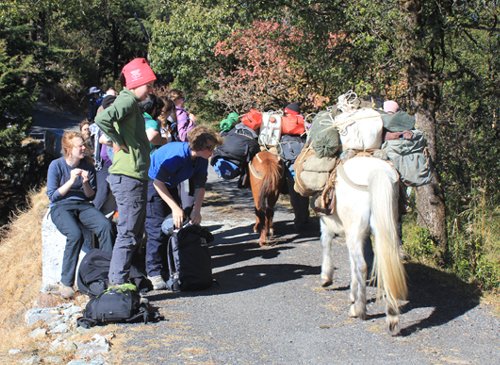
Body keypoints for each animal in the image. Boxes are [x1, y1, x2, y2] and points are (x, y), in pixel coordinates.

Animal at [320, 155, 406, 334]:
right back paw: (392, 316)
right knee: (386, 263)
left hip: (355, 230)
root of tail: (377, 173)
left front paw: (326, 277)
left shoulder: (327, 221)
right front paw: (352, 294)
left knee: (362, 266)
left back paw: (359, 310)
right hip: (385, 228)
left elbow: (326, 242)